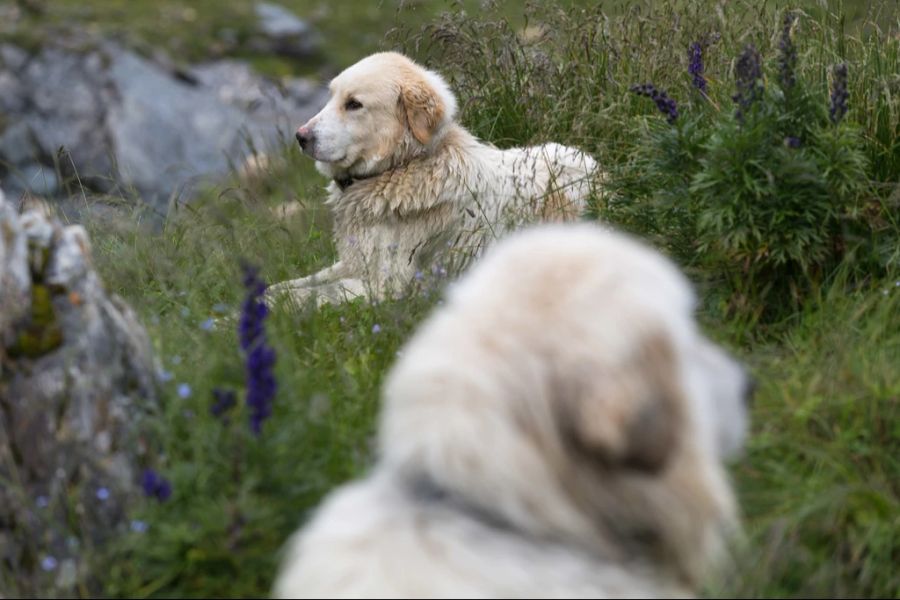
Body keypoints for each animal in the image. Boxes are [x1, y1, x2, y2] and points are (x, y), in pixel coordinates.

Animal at [266, 53, 596, 308]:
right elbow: (304, 281)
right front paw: (274, 289)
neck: (400, 167)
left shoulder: (388, 285)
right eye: (332, 97)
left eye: (354, 104)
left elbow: (320, 293)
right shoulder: (354, 260)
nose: (300, 137)